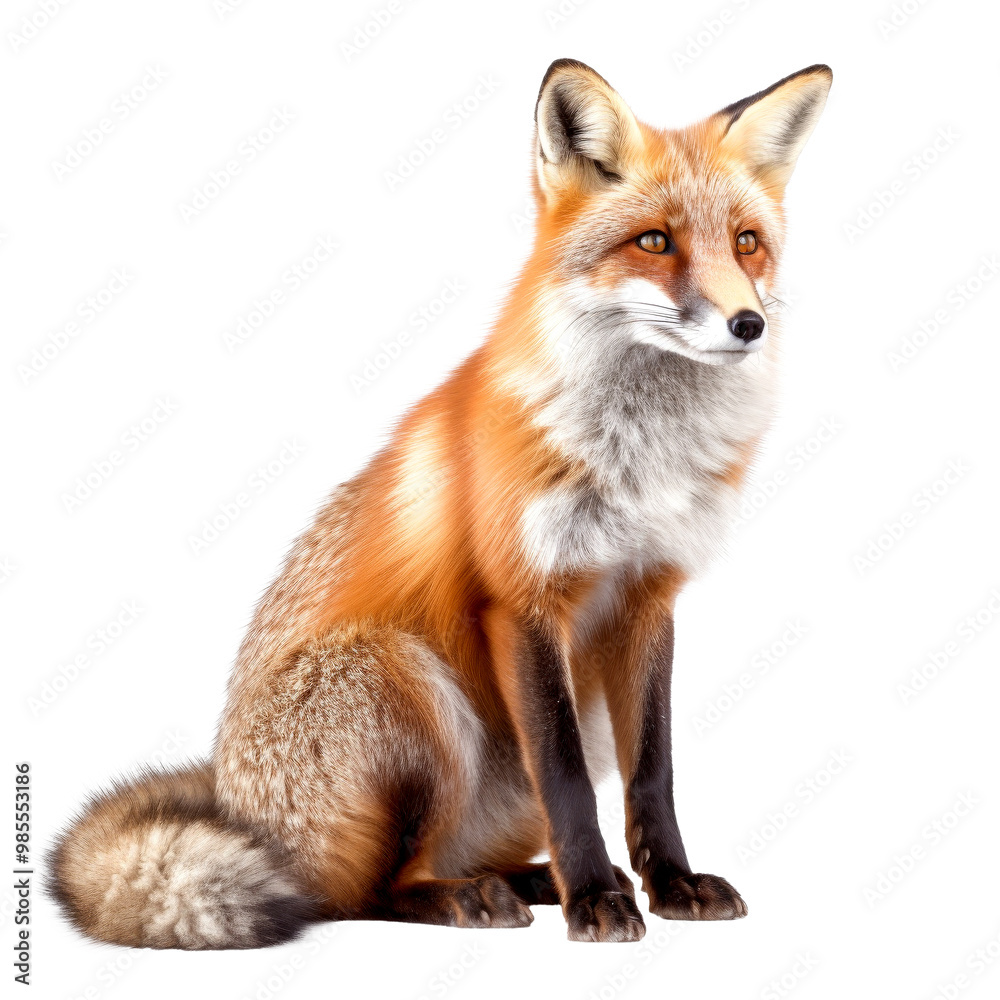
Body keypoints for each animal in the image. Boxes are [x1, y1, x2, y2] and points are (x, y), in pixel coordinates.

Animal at [50, 58, 831, 948]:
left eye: (746, 243)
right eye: (655, 241)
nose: (748, 323)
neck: (639, 462)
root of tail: (236, 803)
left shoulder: (648, 596)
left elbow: (654, 773)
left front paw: (667, 883)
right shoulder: (521, 601)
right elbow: (568, 779)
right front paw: (598, 898)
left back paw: (527, 879)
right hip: (405, 679)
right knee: (362, 893)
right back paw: (475, 897)